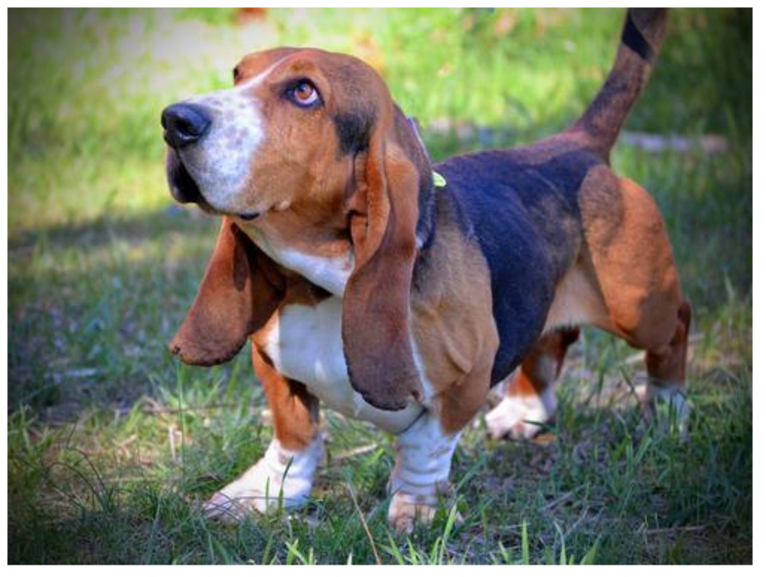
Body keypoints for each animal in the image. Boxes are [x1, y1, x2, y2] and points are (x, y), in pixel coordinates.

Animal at [160, 7, 688, 532]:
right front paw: (263, 493)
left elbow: (423, 447)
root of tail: (579, 145)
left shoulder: (464, 382)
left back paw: (666, 404)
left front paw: (411, 506)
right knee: (550, 340)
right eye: (237, 74)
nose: (175, 120)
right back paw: (525, 409)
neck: (324, 284)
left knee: (675, 325)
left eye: (304, 92)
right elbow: (295, 438)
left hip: (637, 308)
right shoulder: (271, 365)